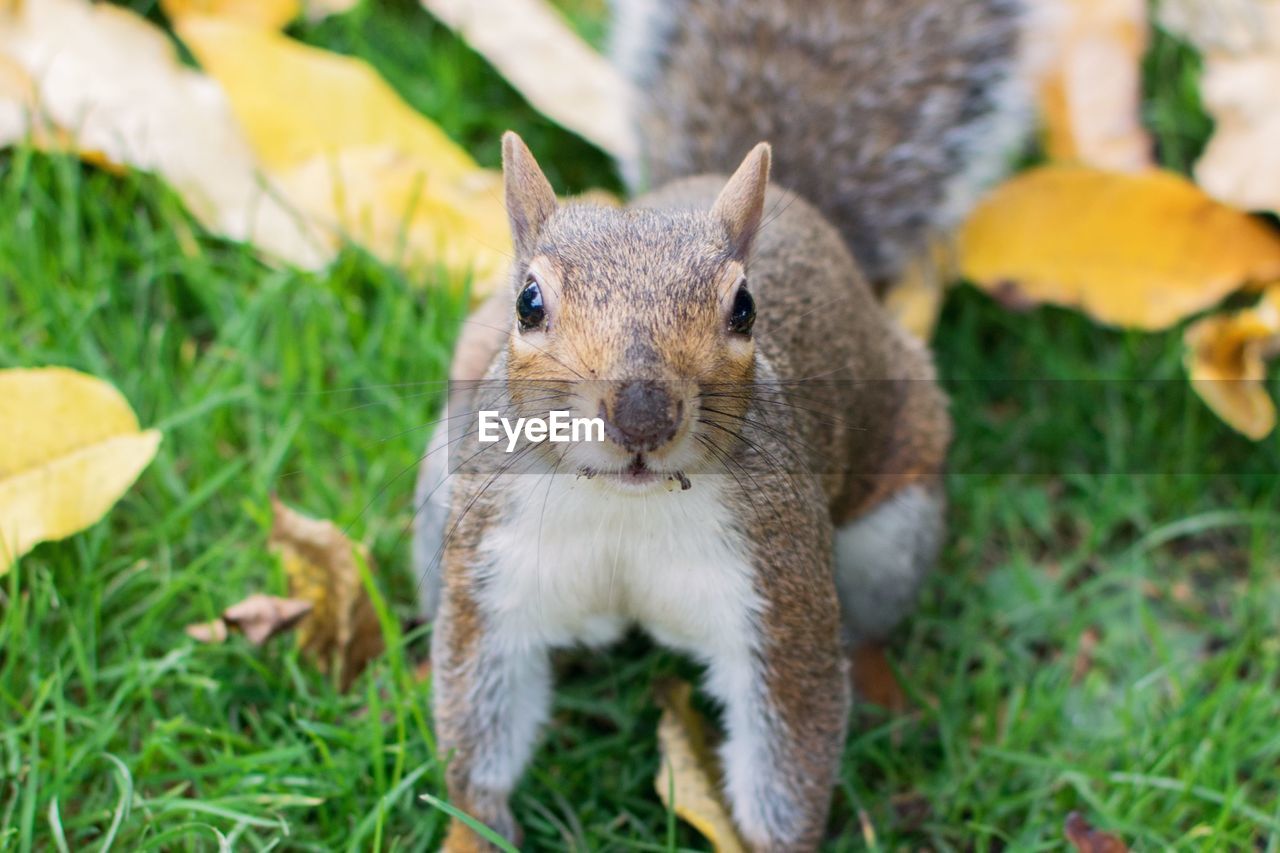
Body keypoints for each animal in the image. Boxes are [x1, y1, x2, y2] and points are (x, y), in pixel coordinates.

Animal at [414, 3, 1024, 845]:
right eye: (527, 302)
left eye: (745, 307)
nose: (642, 414)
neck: (622, 507)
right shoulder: (492, 572)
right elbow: (478, 718)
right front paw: (472, 828)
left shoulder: (777, 594)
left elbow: (790, 742)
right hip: (437, 497)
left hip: (891, 523)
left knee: (871, 618)